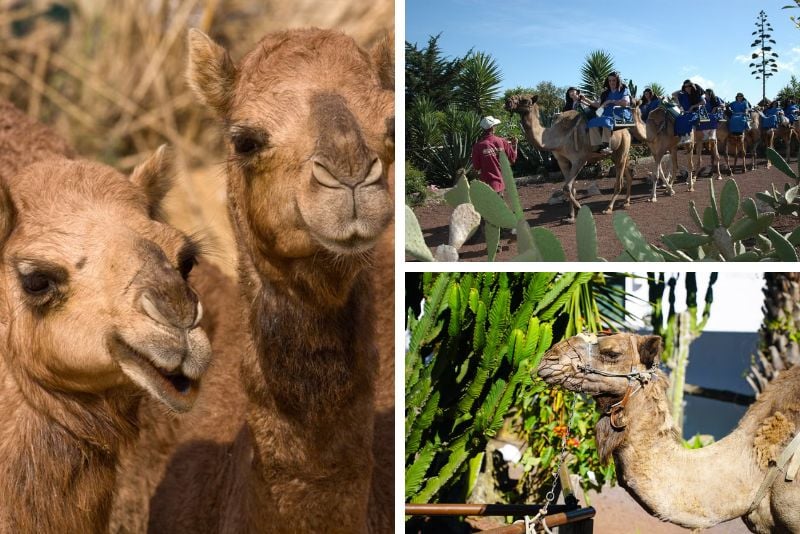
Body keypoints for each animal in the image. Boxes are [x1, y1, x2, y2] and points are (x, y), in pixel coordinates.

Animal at [506, 95, 632, 223]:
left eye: (525, 101)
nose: (508, 102)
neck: (557, 138)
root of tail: (625, 130)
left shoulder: (579, 160)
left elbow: (567, 187)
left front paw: (579, 207)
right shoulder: (563, 161)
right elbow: (570, 188)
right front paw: (571, 216)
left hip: (622, 150)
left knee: (619, 182)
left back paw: (608, 208)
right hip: (617, 154)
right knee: (627, 173)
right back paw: (626, 202)